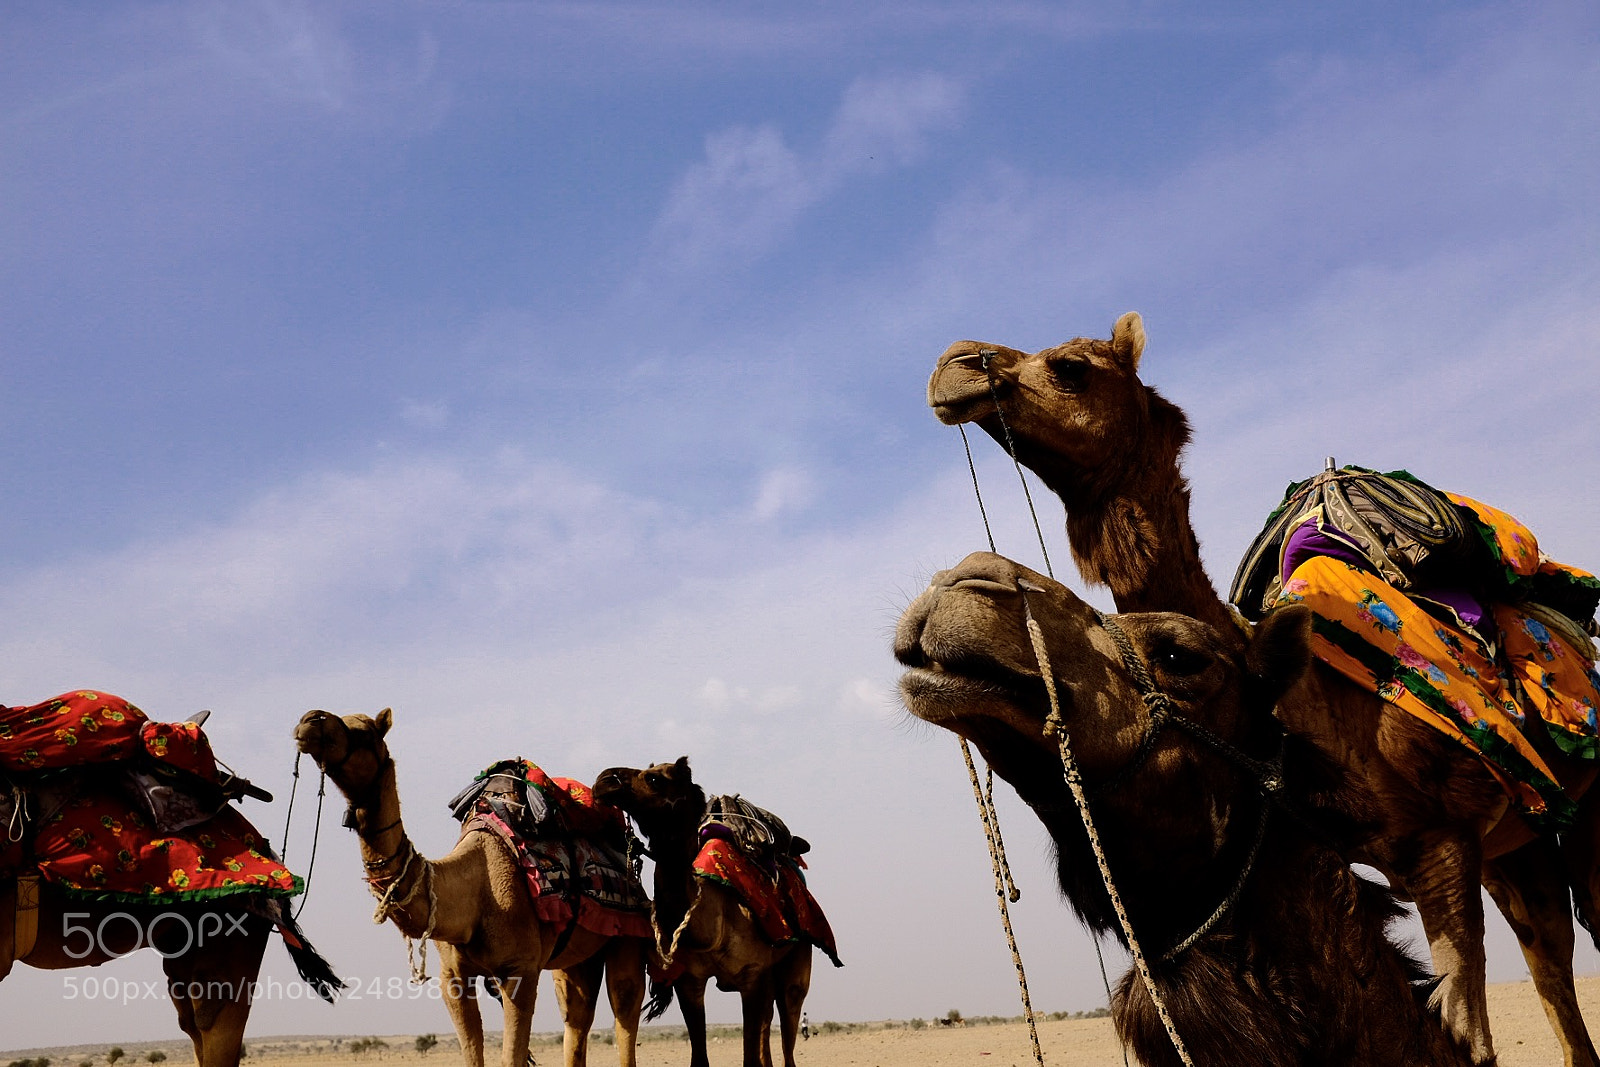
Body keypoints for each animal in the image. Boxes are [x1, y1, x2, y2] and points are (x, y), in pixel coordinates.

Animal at [292, 709, 647, 1067]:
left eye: (363, 732)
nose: (310, 720)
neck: (471, 896)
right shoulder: (453, 977)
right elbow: (472, 1053)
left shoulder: (520, 969)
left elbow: (511, 1057)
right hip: (573, 959)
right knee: (577, 1018)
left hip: (629, 935)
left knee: (624, 1009)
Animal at [592, 759, 818, 1067]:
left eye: (654, 779)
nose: (604, 780)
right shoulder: (690, 981)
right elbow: (699, 1057)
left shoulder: (751, 976)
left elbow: (750, 1058)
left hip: (795, 964)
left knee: (788, 1025)